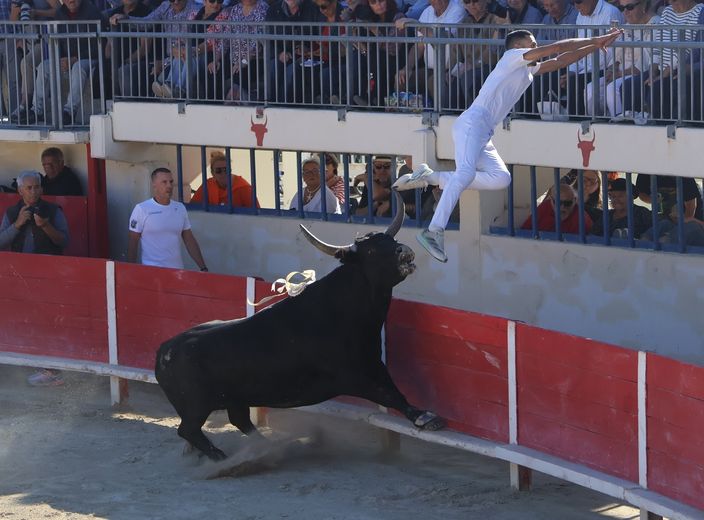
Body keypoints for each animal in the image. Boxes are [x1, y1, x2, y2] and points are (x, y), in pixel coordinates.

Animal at [158, 194, 446, 460]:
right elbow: (388, 394)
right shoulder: (353, 376)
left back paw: (267, 446)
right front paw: (426, 417)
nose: (405, 252)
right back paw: (222, 457)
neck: (346, 308)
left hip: (234, 397)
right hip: (197, 406)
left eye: (390, 240)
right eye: (372, 251)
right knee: (189, 429)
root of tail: (163, 349)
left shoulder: (373, 363)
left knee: (238, 419)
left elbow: (393, 390)